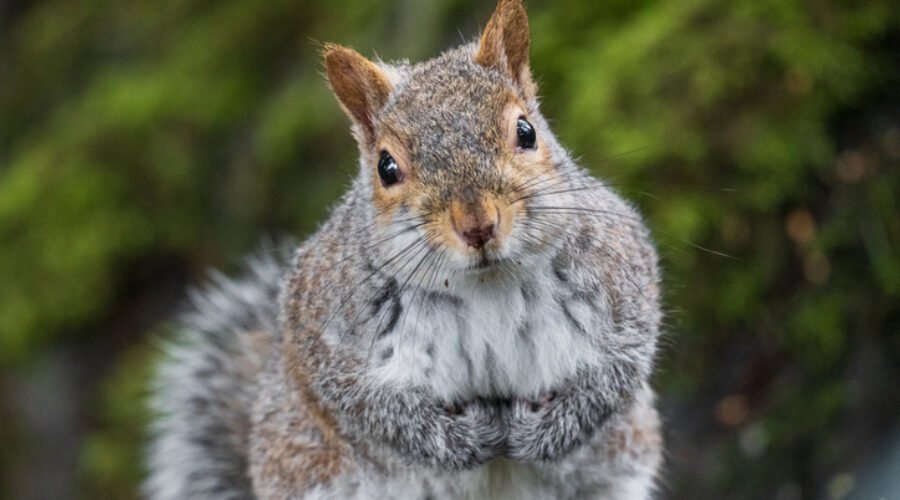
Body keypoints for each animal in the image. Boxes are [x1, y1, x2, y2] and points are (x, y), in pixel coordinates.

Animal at [145, 0, 663, 498]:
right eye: (386, 167)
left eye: (526, 131)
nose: (478, 225)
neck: (485, 283)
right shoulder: (323, 329)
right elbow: (371, 409)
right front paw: (462, 439)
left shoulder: (621, 273)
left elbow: (616, 373)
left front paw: (549, 431)